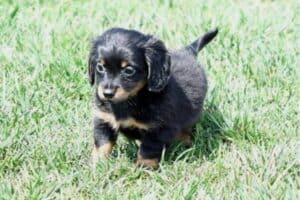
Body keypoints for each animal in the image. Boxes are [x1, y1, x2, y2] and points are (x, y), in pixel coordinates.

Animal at [88, 27, 217, 169]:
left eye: (129, 70)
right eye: (100, 67)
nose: (107, 93)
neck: (131, 100)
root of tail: (188, 51)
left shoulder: (157, 129)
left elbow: (148, 151)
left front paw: (144, 169)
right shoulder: (104, 120)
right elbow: (102, 144)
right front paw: (97, 164)